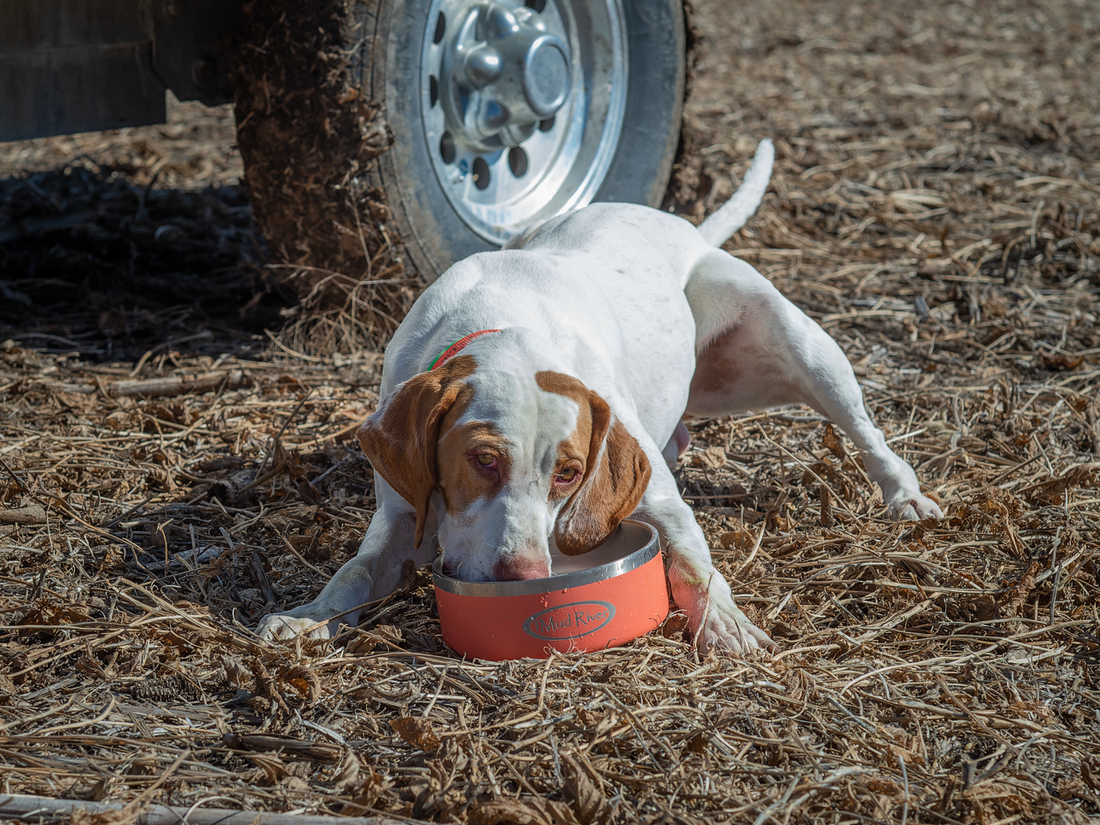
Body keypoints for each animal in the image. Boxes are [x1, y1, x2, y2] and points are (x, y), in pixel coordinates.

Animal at [255, 144, 937, 660]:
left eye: (569, 474)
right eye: (483, 460)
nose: (526, 578)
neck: (505, 324)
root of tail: (683, 226)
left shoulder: (662, 504)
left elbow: (694, 565)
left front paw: (725, 625)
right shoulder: (402, 512)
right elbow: (356, 571)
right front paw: (309, 617)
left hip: (800, 347)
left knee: (868, 433)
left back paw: (905, 497)